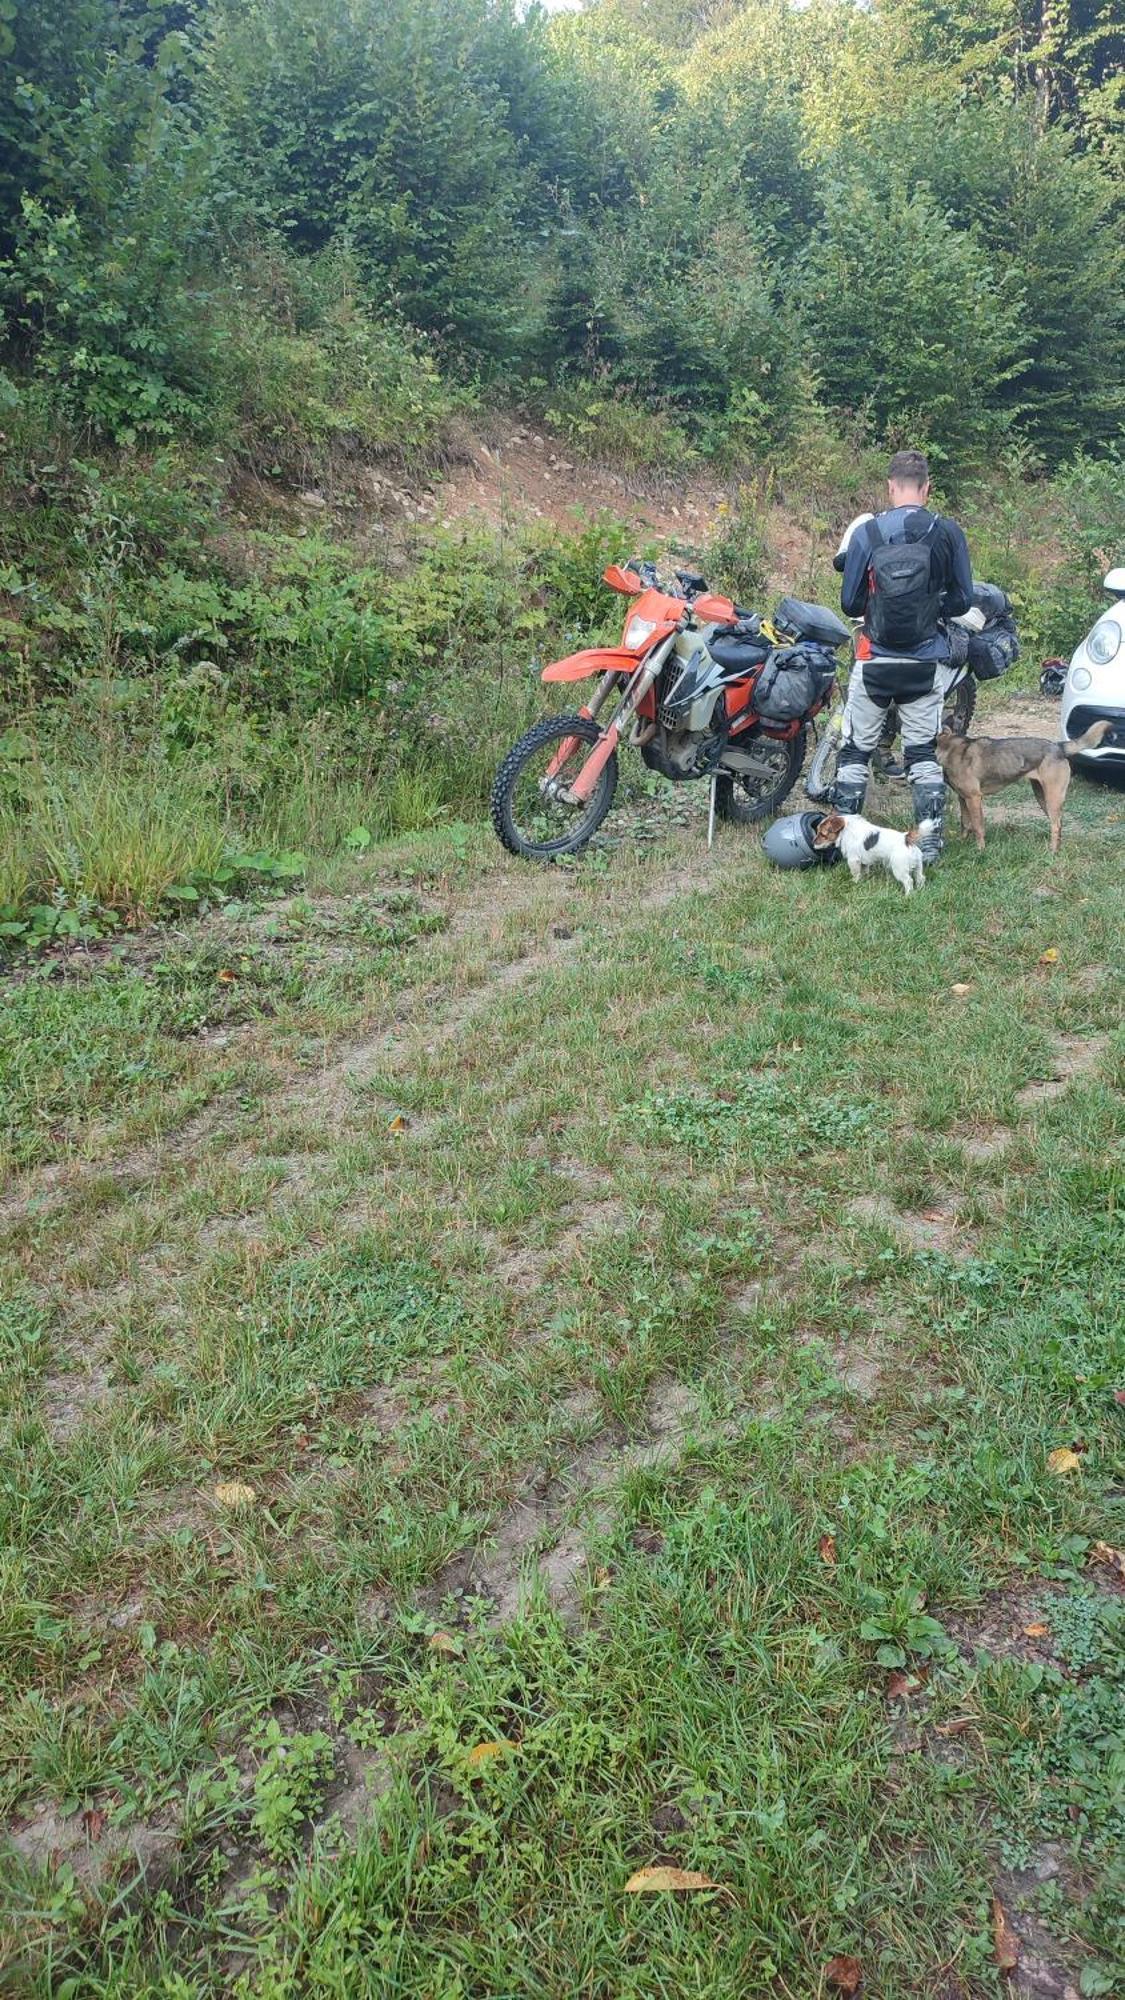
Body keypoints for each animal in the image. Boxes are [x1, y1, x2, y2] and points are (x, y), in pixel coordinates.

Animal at [932, 724, 1104, 856]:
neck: (949, 748)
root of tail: (1058, 747)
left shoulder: (974, 798)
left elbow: (978, 827)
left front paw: (980, 850)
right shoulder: (963, 798)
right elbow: (965, 823)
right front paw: (962, 843)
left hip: (1052, 798)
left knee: (1056, 825)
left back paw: (1052, 852)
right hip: (1042, 797)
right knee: (1059, 824)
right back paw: (1057, 849)